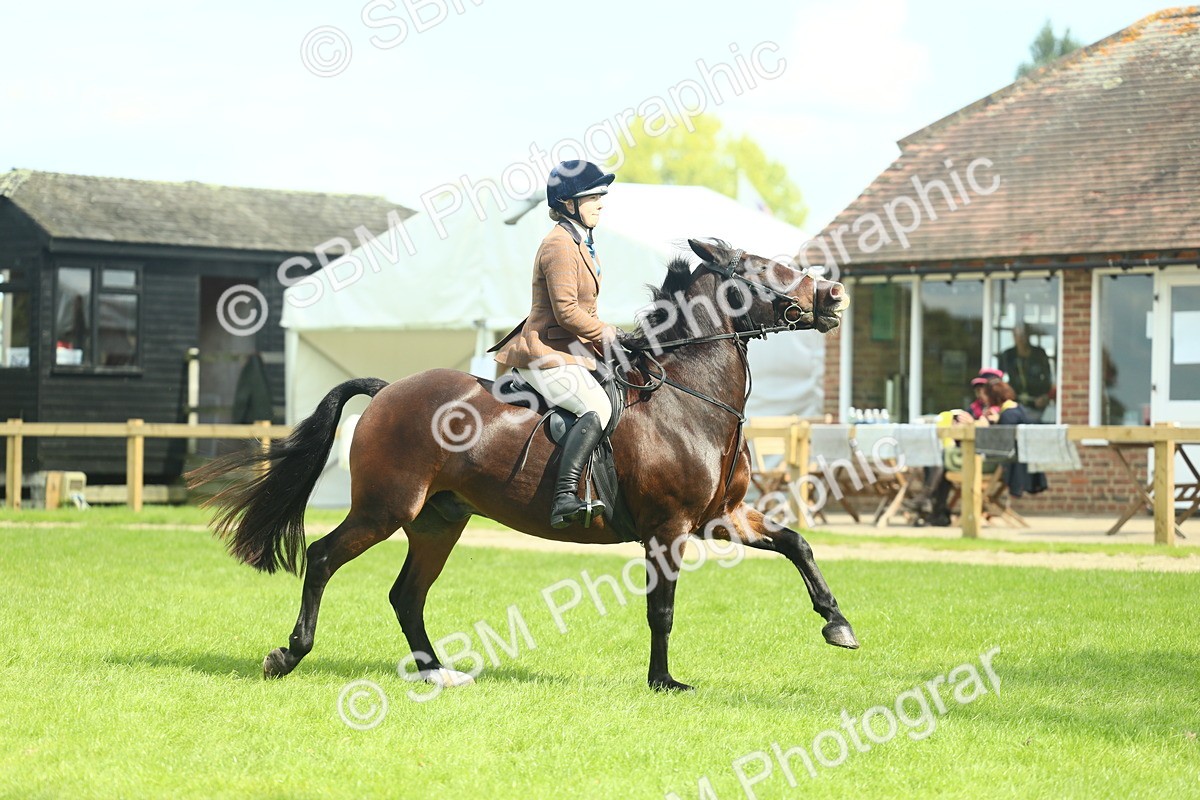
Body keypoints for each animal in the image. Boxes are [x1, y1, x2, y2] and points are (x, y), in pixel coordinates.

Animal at [189, 238, 857, 692]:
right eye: (762, 269)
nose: (834, 296)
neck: (686, 397)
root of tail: (387, 390)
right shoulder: (668, 529)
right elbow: (661, 610)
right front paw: (664, 682)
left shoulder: (723, 517)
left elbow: (797, 544)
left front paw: (838, 624)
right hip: (385, 509)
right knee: (324, 558)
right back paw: (288, 655)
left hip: (438, 520)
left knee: (407, 594)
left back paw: (438, 673)